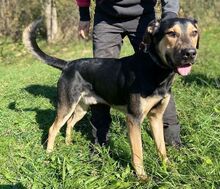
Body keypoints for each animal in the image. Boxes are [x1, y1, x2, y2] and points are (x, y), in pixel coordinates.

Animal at [22, 17, 199, 180]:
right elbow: (138, 152)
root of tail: (68, 64)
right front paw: (142, 177)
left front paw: (170, 169)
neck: (155, 69)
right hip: (67, 105)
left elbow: (162, 148)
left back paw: (68, 143)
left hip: (82, 108)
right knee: (53, 129)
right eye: (171, 33)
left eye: (194, 33)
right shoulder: (133, 119)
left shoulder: (156, 117)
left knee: (70, 123)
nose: (190, 53)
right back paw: (50, 154)